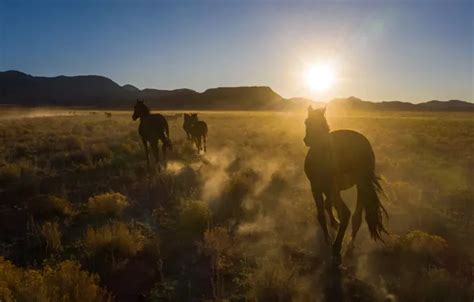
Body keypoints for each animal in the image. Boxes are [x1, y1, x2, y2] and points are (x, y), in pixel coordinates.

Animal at [304, 106, 388, 264]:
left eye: (307, 122)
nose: (307, 140)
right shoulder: (329, 190)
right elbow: (328, 205)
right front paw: (333, 223)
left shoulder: (316, 187)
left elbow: (321, 212)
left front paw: (327, 238)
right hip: (361, 185)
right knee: (356, 217)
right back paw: (350, 245)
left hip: (337, 187)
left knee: (346, 213)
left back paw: (336, 249)